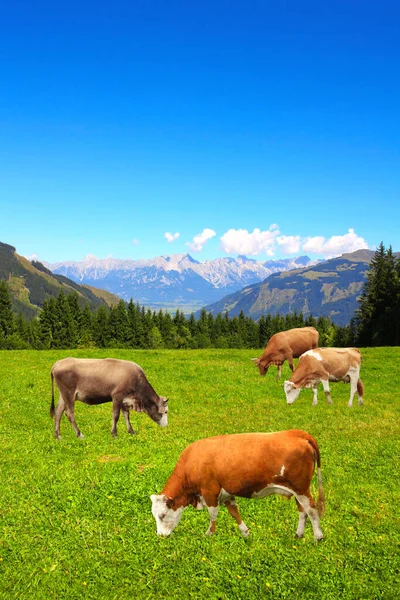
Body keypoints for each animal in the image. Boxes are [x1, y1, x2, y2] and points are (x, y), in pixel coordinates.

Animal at [150, 428, 324, 540]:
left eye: (162, 515)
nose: (160, 536)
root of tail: (296, 433)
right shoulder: (226, 493)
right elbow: (234, 513)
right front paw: (246, 533)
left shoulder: (209, 491)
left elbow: (213, 515)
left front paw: (209, 534)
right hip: (297, 490)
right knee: (302, 511)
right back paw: (299, 534)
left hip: (301, 488)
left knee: (312, 510)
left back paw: (318, 537)